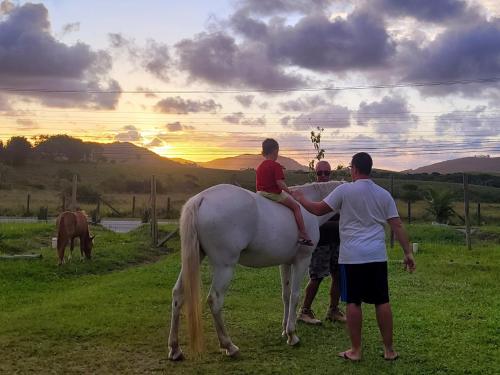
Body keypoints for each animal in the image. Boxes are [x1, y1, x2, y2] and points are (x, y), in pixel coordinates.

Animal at [170, 181, 342, 362]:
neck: (306, 206)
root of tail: (201, 198)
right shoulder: (302, 261)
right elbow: (295, 296)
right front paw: (292, 335)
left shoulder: (285, 264)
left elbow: (286, 295)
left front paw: (284, 330)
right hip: (225, 267)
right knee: (215, 300)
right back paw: (229, 346)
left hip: (195, 258)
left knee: (178, 295)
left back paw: (175, 349)